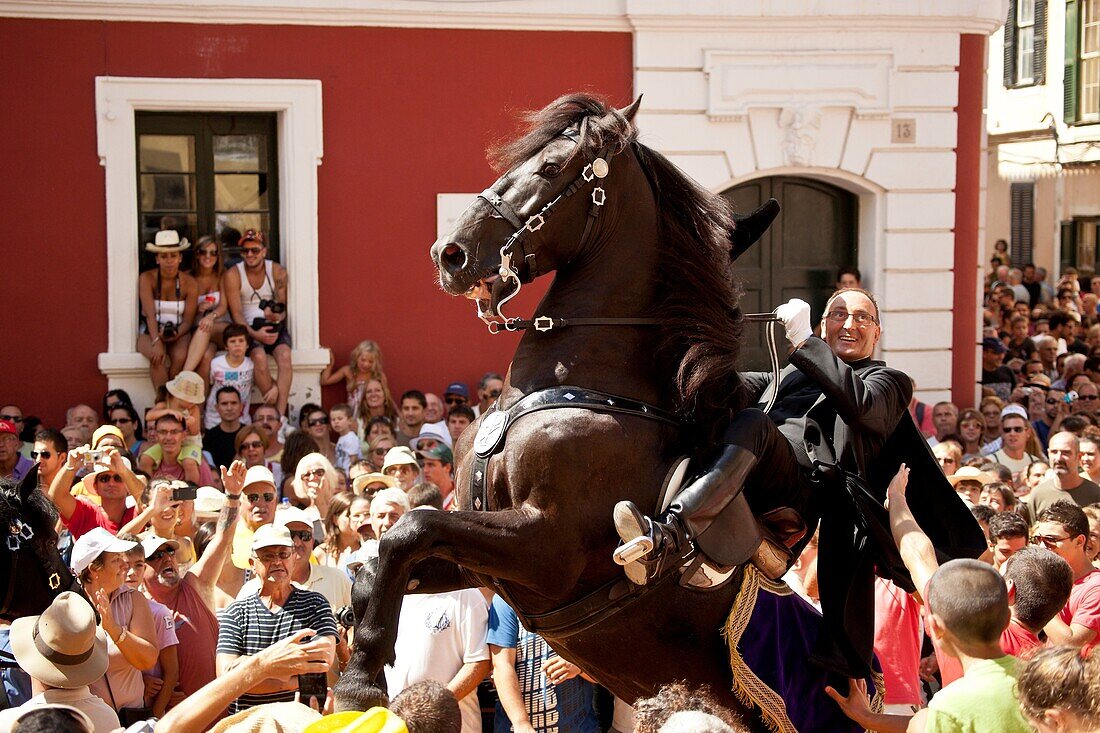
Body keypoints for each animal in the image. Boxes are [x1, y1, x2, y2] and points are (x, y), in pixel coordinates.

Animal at [343, 94, 875, 726]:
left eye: (551, 168)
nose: (450, 254)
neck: (582, 385)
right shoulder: (484, 564)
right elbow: (387, 556)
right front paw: (360, 645)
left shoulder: (546, 549)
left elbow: (411, 527)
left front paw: (359, 680)